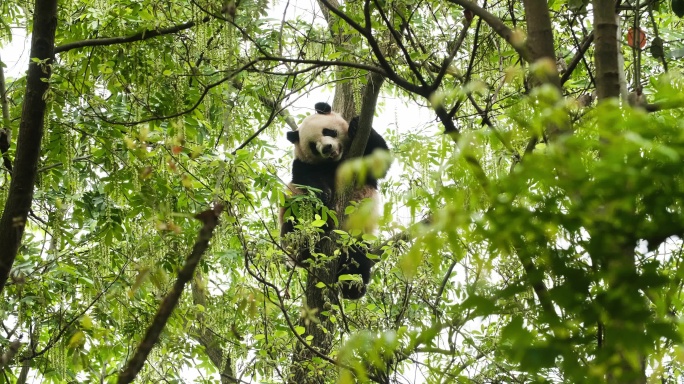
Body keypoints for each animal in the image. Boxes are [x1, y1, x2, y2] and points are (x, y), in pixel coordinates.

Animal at [280, 102, 388, 300]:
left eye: (328, 131)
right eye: (313, 146)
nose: (327, 148)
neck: (335, 162)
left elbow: (379, 160)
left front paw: (355, 124)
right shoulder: (304, 165)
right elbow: (305, 180)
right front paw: (324, 194)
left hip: (356, 236)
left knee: (357, 258)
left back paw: (352, 287)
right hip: (291, 226)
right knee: (298, 219)